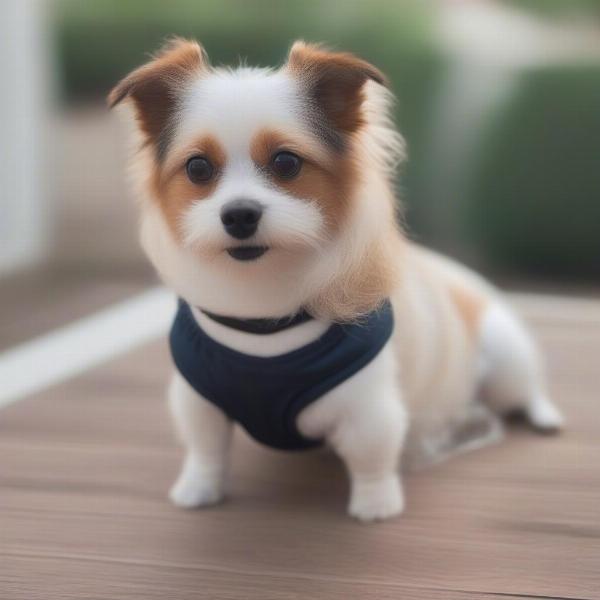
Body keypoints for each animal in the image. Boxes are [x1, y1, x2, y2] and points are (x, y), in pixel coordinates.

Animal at [109, 39, 564, 524]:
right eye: (197, 168)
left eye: (286, 162)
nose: (239, 214)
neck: (263, 316)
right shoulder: (198, 399)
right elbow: (205, 448)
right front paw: (198, 488)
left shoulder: (369, 408)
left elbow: (371, 458)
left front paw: (376, 505)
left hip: (505, 354)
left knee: (527, 389)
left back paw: (544, 415)